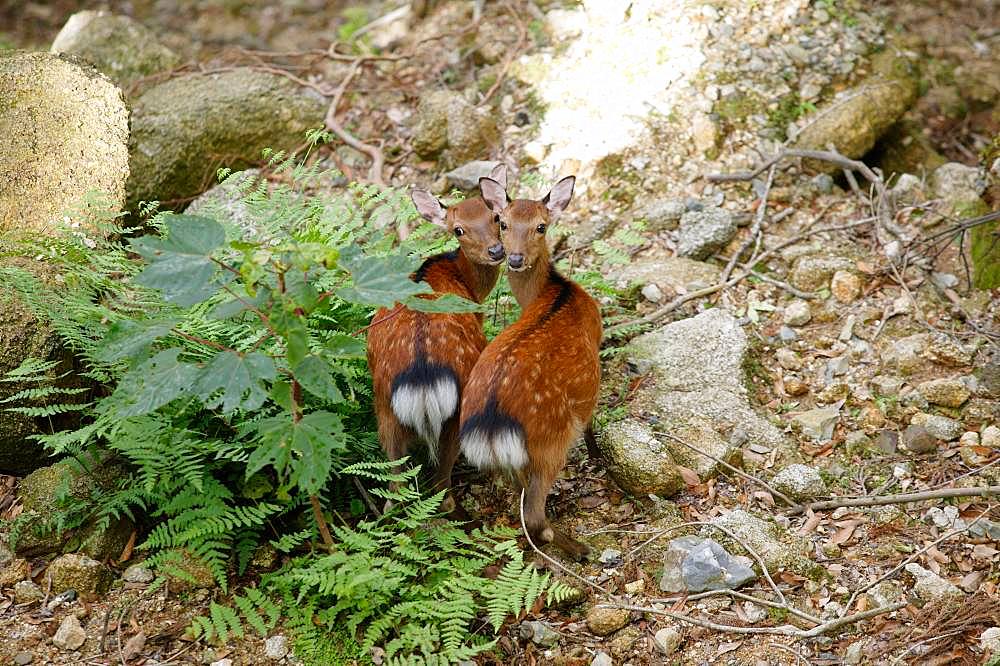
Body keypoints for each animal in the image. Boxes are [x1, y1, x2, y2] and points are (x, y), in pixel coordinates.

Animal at [458, 174, 600, 556]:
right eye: (503, 223)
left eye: (540, 226)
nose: (514, 257)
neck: (555, 290)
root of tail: (490, 418)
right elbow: (591, 422)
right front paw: (598, 456)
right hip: (549, 439)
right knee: (534, 514)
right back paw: (579, 549)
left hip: (507, 455)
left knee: (520, 499)